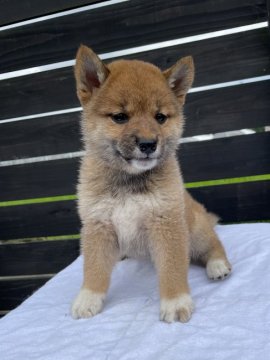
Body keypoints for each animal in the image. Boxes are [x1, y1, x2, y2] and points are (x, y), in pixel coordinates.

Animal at [70, 45, 231, 324]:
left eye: (160, 117)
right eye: (120, 117)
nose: (147, 144)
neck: (129, 180)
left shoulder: (166, 223)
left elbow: (172, 268)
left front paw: (175, 301)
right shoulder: (98, 225)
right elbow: (94, 267)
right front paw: (88, 298)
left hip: (196, 231)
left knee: (212, 245)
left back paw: (218, 265)